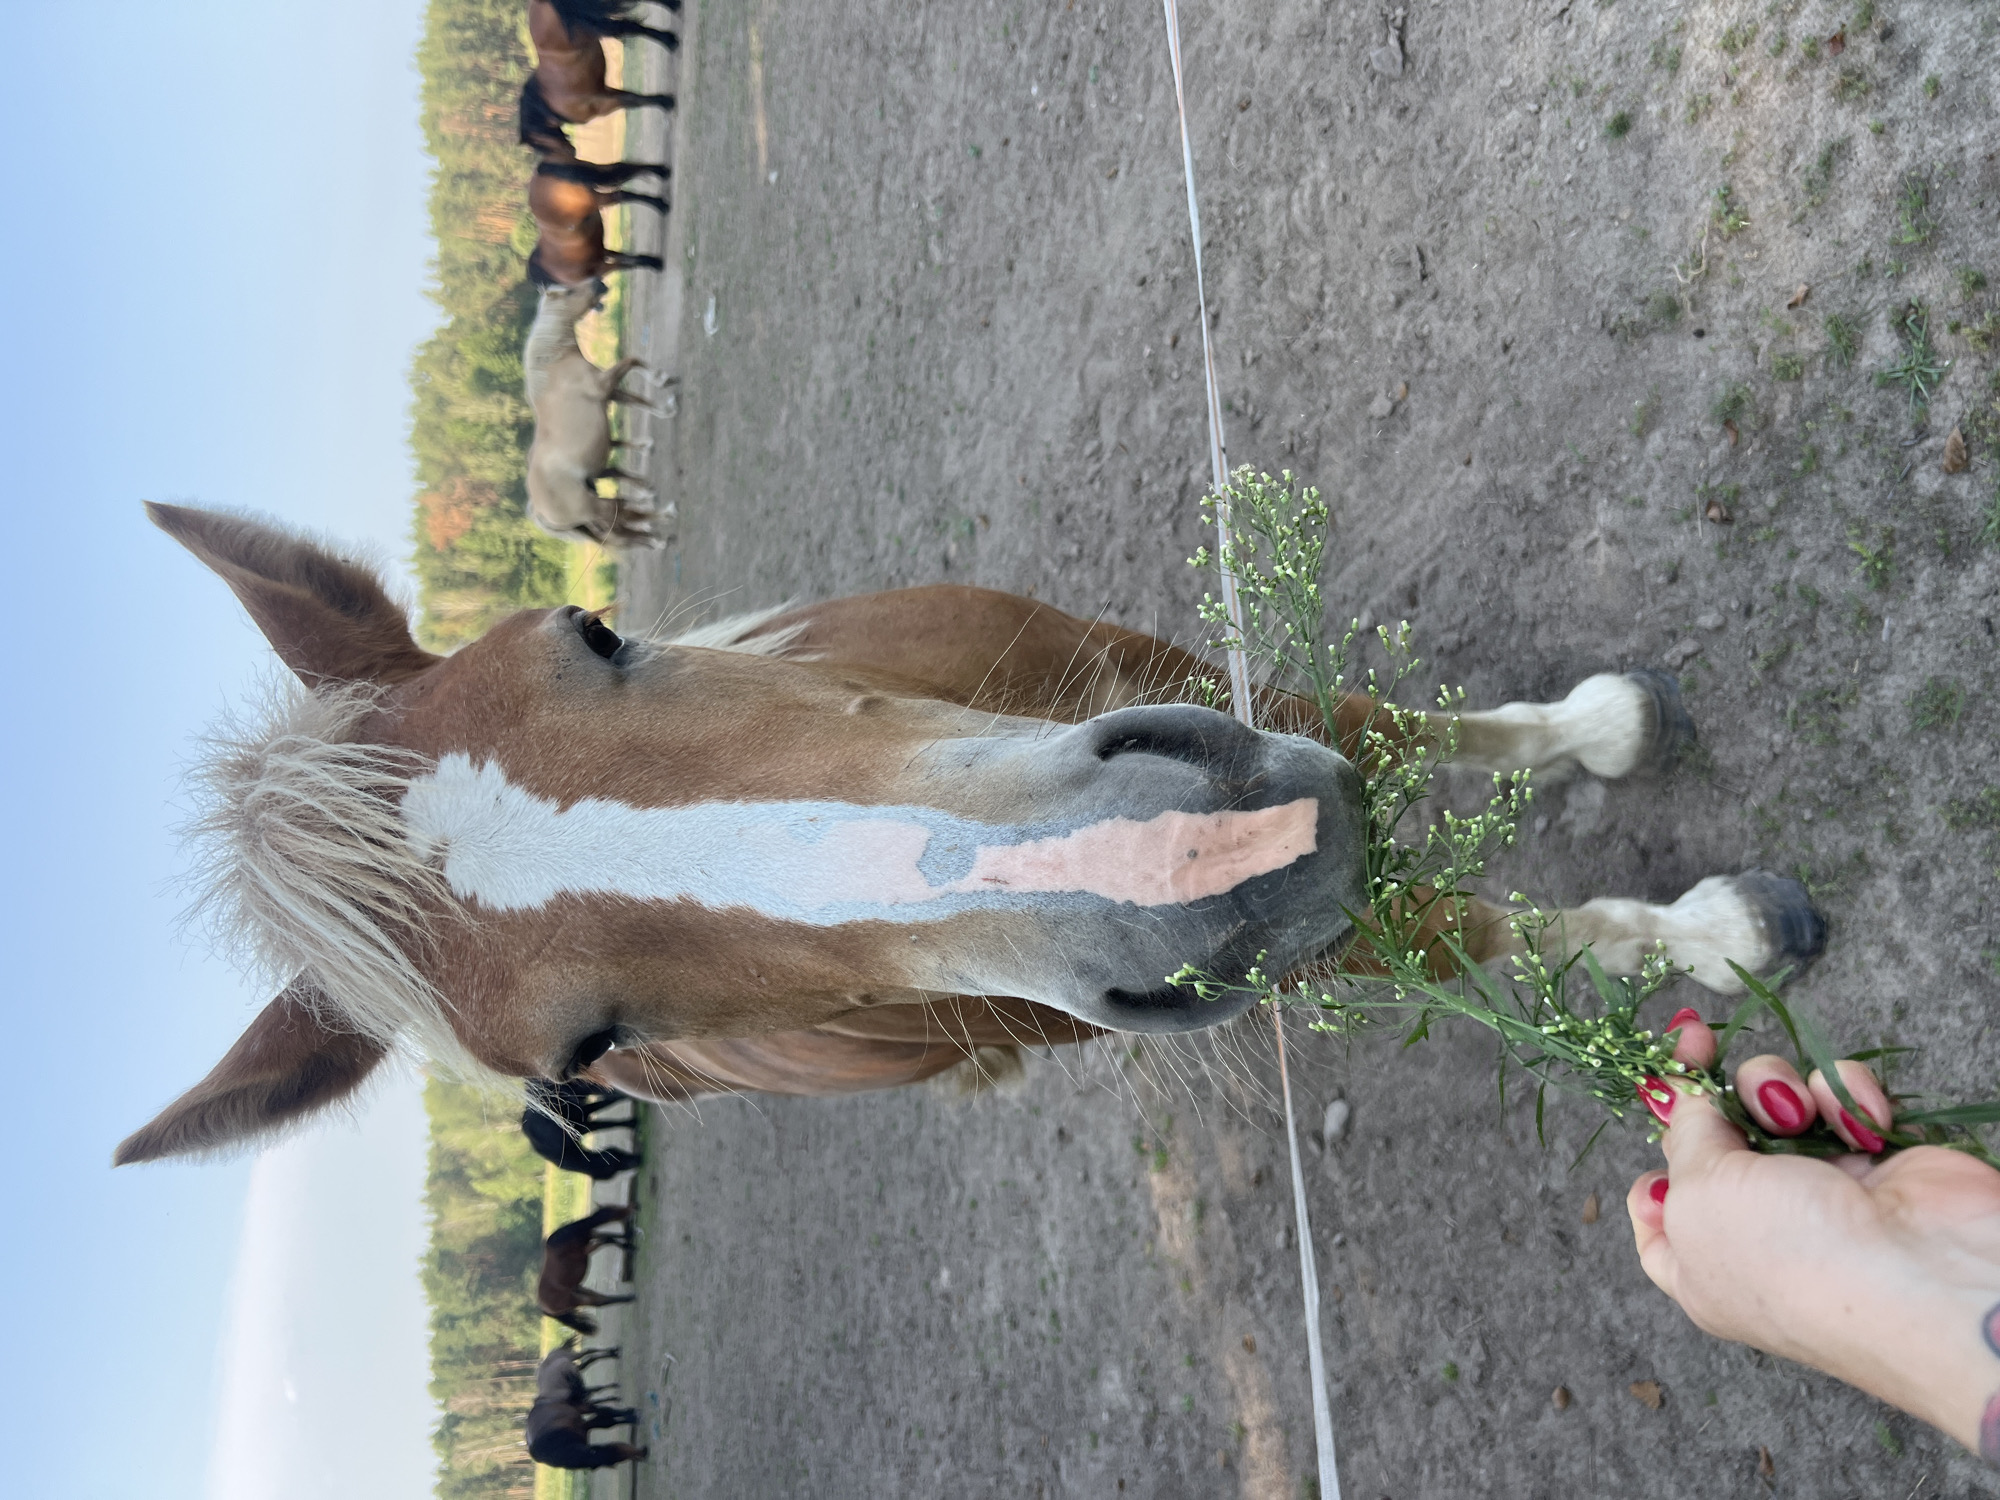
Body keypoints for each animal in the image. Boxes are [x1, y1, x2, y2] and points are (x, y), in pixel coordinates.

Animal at [110, 505, 1824, 1163]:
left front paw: (1603, 731)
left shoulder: (1145, 663)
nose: (1184, 872)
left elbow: (1371, 728)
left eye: (591, 628)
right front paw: (1708, 937)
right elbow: (1442, 931)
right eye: (582, 1057)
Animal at [523, 280, 664, 547]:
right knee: (620, 520)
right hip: (596, 507)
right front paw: (662, 380)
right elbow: (633, 360)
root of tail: (539, 513)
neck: (554, 364)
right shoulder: (604, 385)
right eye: (569, 291)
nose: (600, 283)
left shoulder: (609, 392)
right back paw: (662, 525)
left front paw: (665, 409)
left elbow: (637, 399)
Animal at [526, 0, 678, 132]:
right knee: (634, 100)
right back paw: (666, 102)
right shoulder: (599, 22)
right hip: (604, 101)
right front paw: (668, 39)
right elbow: (631, 27)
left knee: (631, 98)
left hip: (605, 93)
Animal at [539, 1204, 635, 1334]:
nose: (635, 1207)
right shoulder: (587, 1250)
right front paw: (629, 1246)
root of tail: (544, 1307)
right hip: (578, 1299)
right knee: (599, 1302)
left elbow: (609, 1236)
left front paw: (629, 1238)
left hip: (580, 1290)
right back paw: (630, 1298)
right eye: (616, 1211)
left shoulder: (592, 1234)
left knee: (600, 1298)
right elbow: (608, 1239)